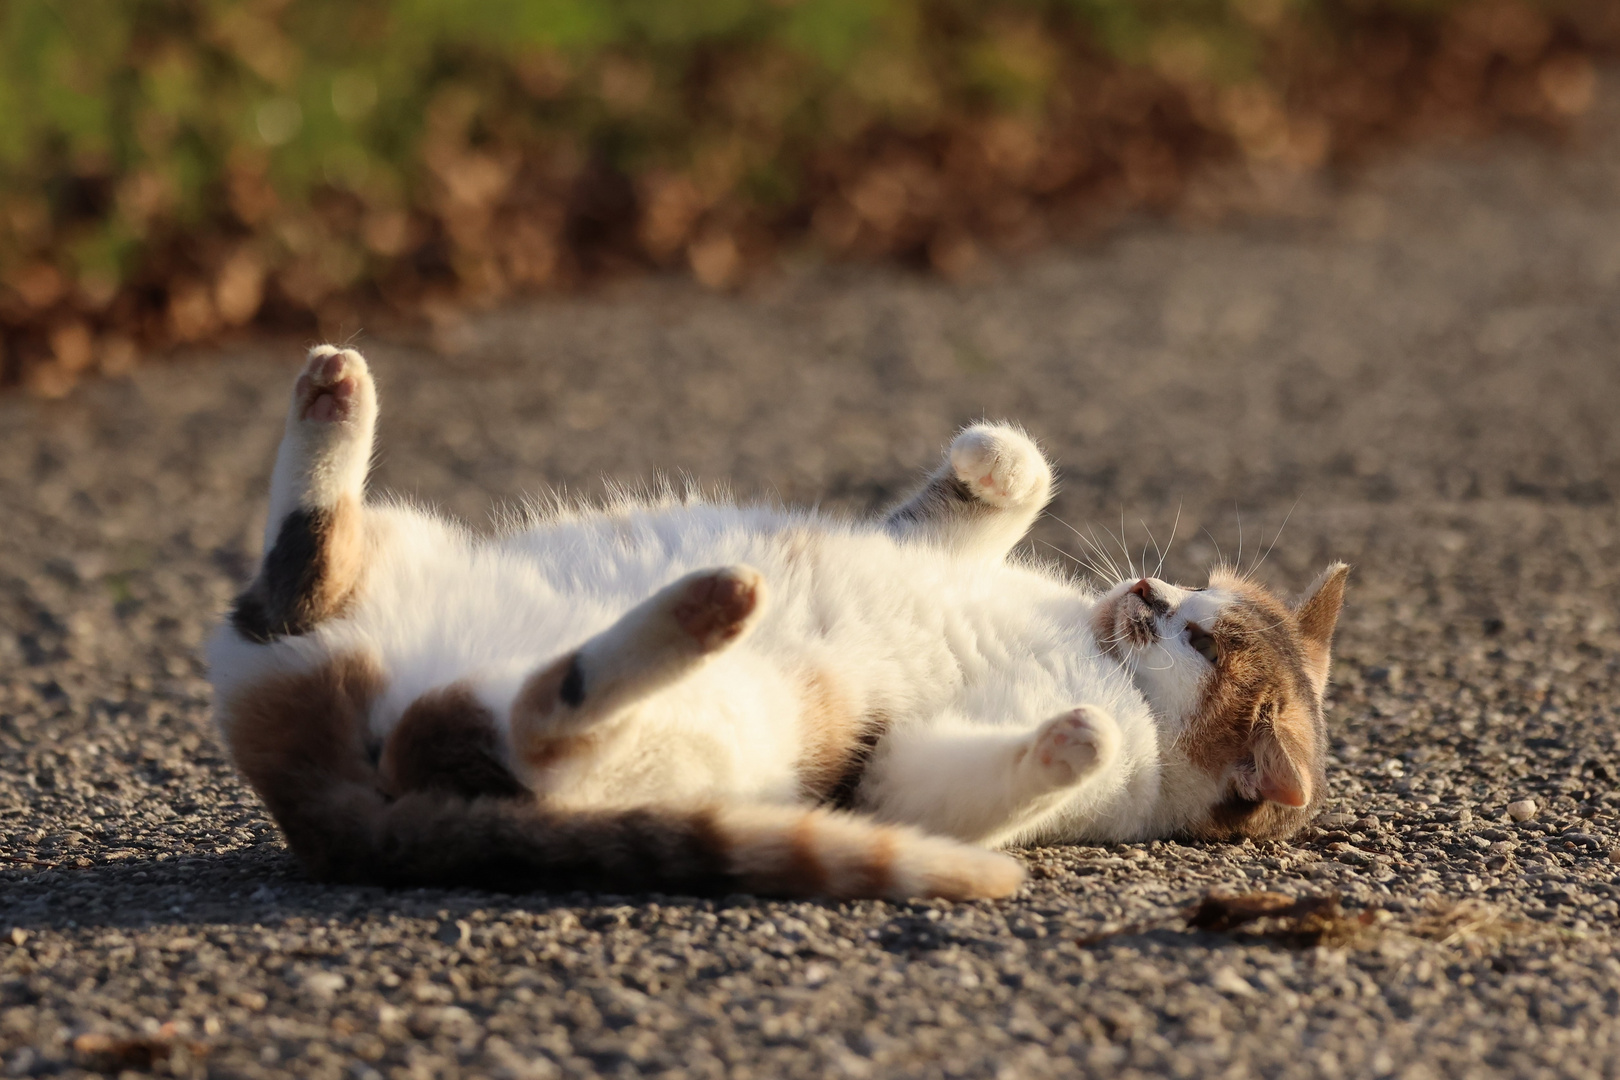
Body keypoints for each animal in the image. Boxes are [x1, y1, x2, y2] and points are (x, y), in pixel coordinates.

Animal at [212, 348, 1354, 906]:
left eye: (1201, 645)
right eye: (1195, 598)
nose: (1153, 592)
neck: (1088, 641)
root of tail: (316, 805)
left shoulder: (890, 779)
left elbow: (1000, 768)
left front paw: (1082, 734)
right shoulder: (935, 545)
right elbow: (1018, 475)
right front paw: (990, 459)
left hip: (726, 728)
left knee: (529, 724)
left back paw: (712, 606)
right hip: (384, 565)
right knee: (301, 576)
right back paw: (333, 396)